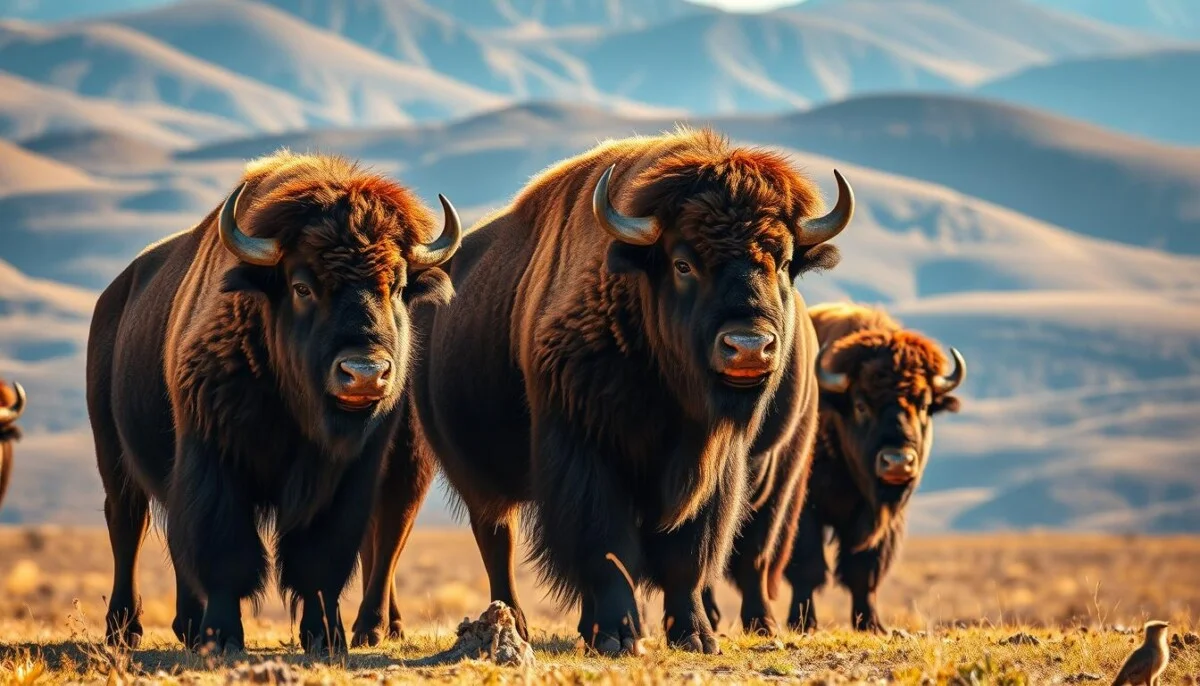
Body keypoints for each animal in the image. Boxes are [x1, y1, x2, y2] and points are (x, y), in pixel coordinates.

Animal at [87, 152, 461, 653]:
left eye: (397, 287)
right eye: (302, 287)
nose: (364, 372)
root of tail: (114, 294)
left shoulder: (348, 474)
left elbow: (322, 561)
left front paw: (326, 636)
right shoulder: (214, 456)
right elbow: (225, 551)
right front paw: (223, 636)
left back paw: (188, 627)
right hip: (114, 456)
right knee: (129, 525)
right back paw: (125, 631)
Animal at [357, 128, 854, 655]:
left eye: (783, 261)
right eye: (683, 263)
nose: (748, 347)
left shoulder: (716, 463)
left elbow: (689, 554)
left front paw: (695, 636)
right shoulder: (585, 450)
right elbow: (607, 546)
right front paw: (619, 635)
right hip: (473, 475)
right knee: (496, 540)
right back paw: (517, 624)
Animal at [773, 303, 965, 632]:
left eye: (924, 405)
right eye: (861, 404)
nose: (897, 462)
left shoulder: (881, 519)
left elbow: (864, 570)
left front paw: (872, 625)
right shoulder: (803, 511)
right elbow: (808, 566)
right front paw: (803, 623)